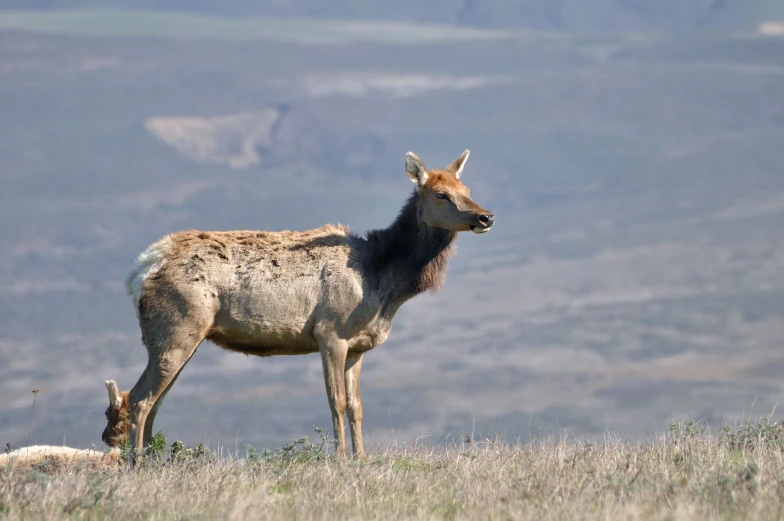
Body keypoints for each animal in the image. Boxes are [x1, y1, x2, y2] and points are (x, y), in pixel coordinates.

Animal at [104, 150, 494, 464]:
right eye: (442, 194)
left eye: (468, 190)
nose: (486, 216)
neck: (384, 282)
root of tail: (141, 270)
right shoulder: (331, 332)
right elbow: (336, 401)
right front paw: (340, 459)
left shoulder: (358, 346)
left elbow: (357, 406)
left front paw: (362, 458)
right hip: (176, 329)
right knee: (140, 398)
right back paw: (139, 466)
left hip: (181, 337)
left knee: (153, 401)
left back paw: (154, 463)